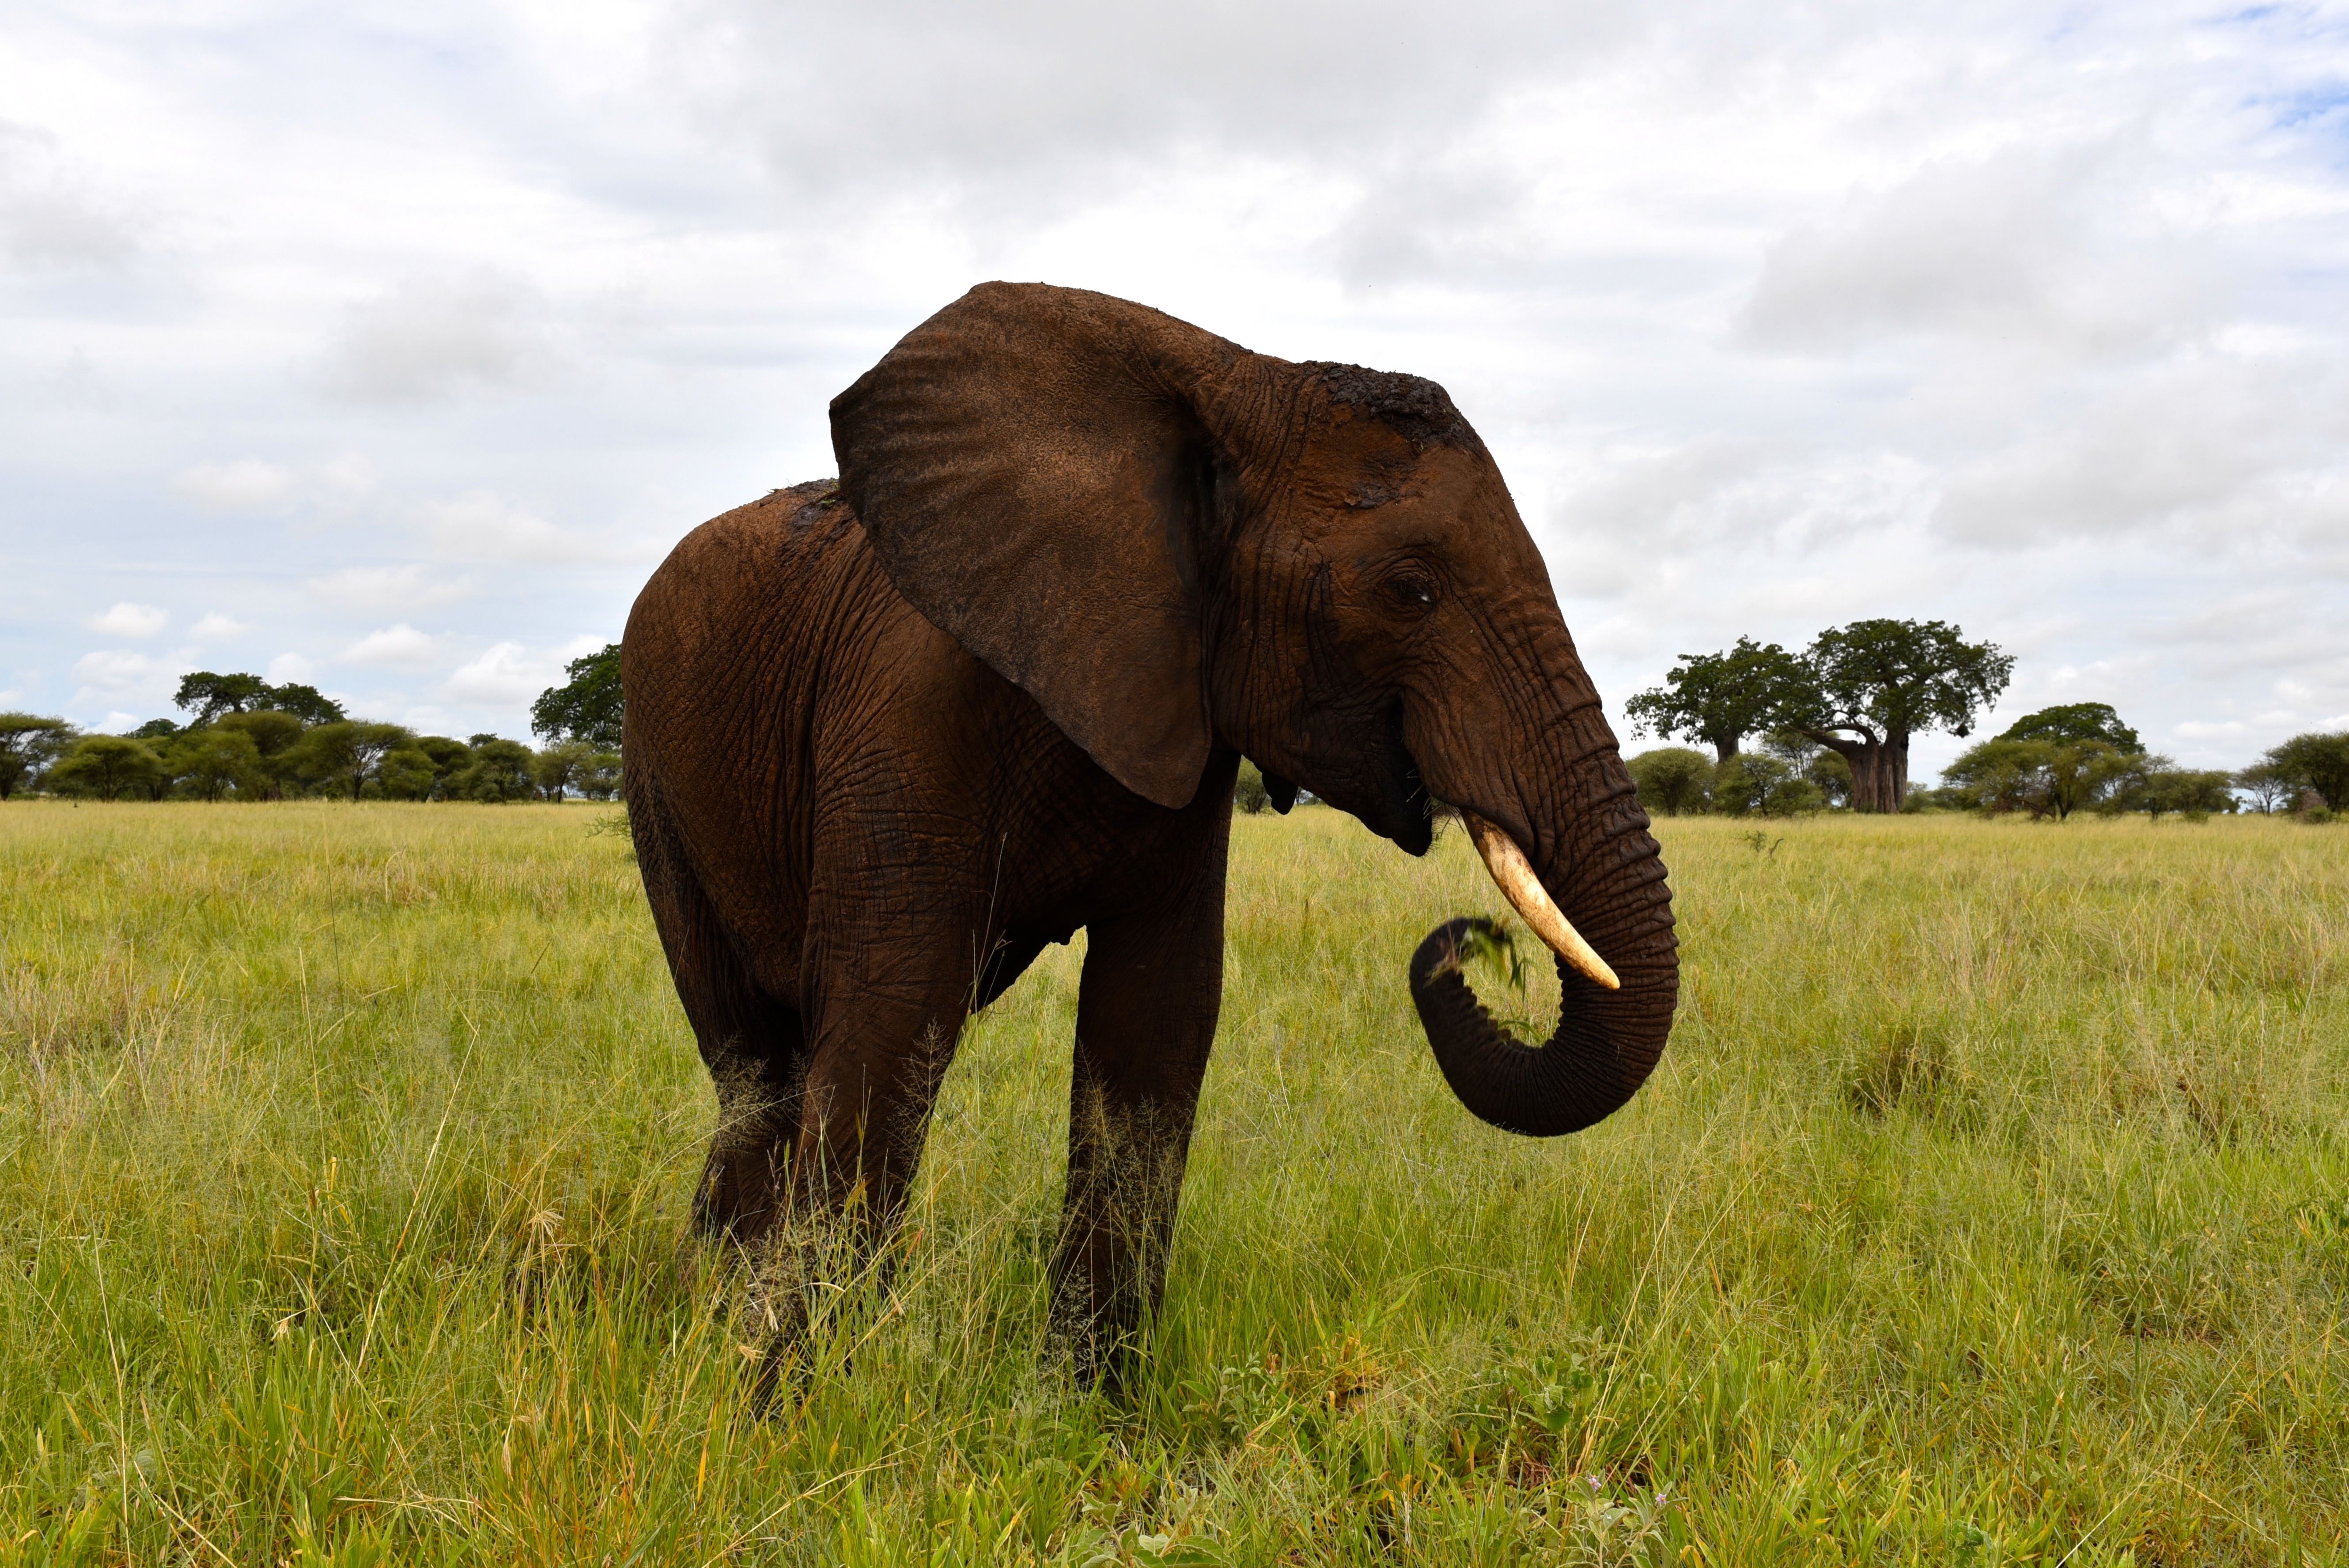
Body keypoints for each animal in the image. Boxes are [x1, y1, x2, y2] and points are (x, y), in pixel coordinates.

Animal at [622, 282, 1677, 1386]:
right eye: (1410, 589)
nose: (1464, 943)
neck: (1237, 386)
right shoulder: (908, 697)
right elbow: (891, 1008)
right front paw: (800, 1401)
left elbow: (1155, 1015)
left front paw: (1081, 1408)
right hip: (654, 769)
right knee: (756, 1064)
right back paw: (713, 1325)